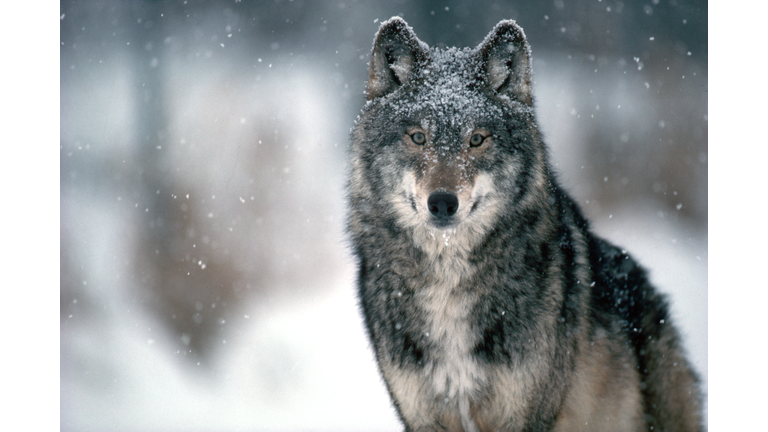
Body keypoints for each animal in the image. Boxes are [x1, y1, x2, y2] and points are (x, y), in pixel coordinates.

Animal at [346, 16, 704, 432]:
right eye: (418, 137)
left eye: (477, 139)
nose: (443, 202)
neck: (447, 284)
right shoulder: (423, 417)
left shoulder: (525, 414)